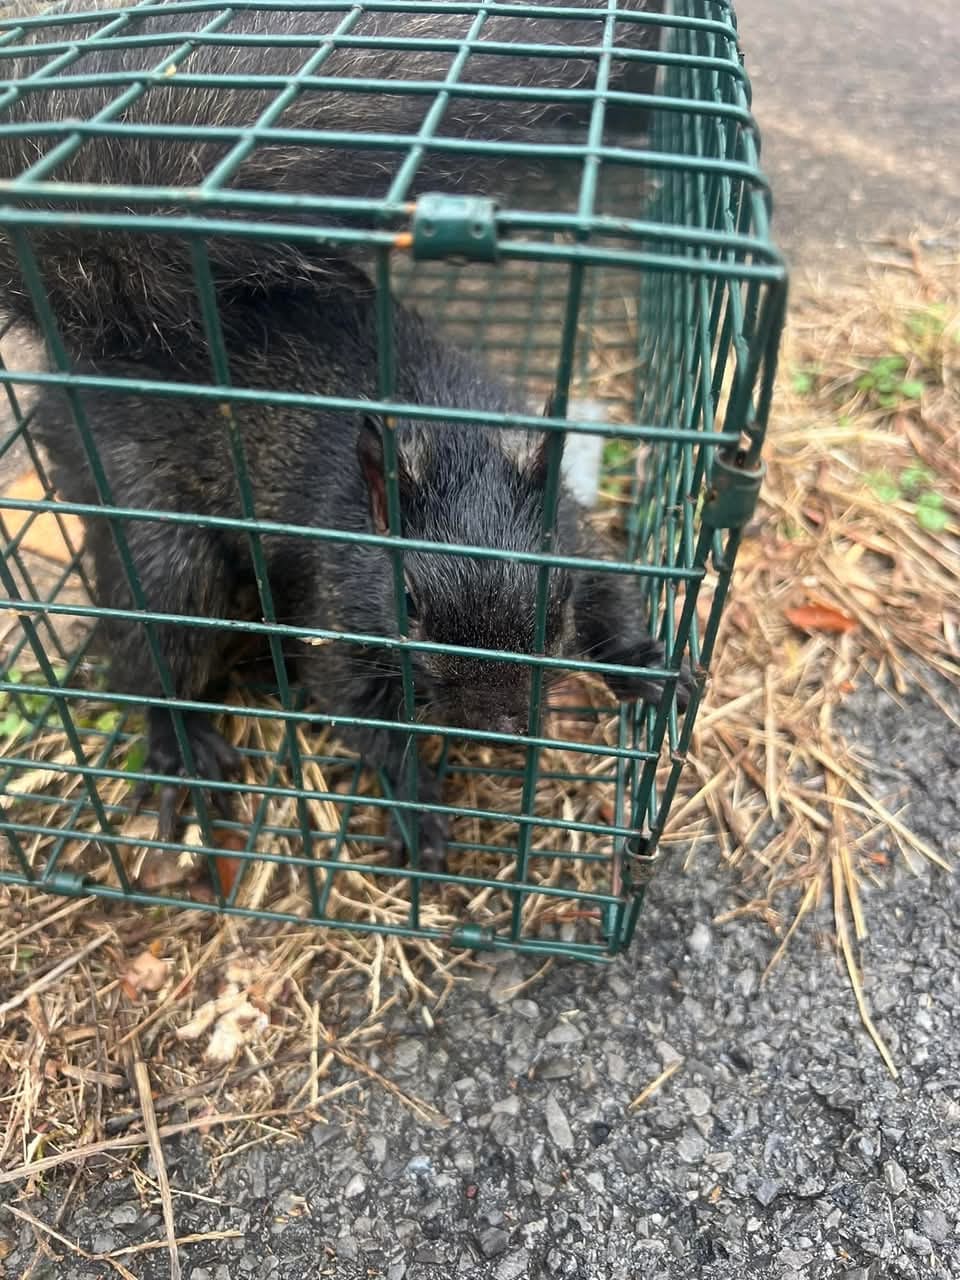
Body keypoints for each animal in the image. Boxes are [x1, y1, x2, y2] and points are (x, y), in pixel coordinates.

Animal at [29, 267, 693, 868]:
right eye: (410, 606)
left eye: (557, 606)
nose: (498, 725)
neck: (452, 430)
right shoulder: (335, 612)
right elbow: (360, 715)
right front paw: (417, 808)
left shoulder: (575, 538)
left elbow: (612, 596)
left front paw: (648, 667)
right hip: (154, 537)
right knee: (151, 649)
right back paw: (182, 741)